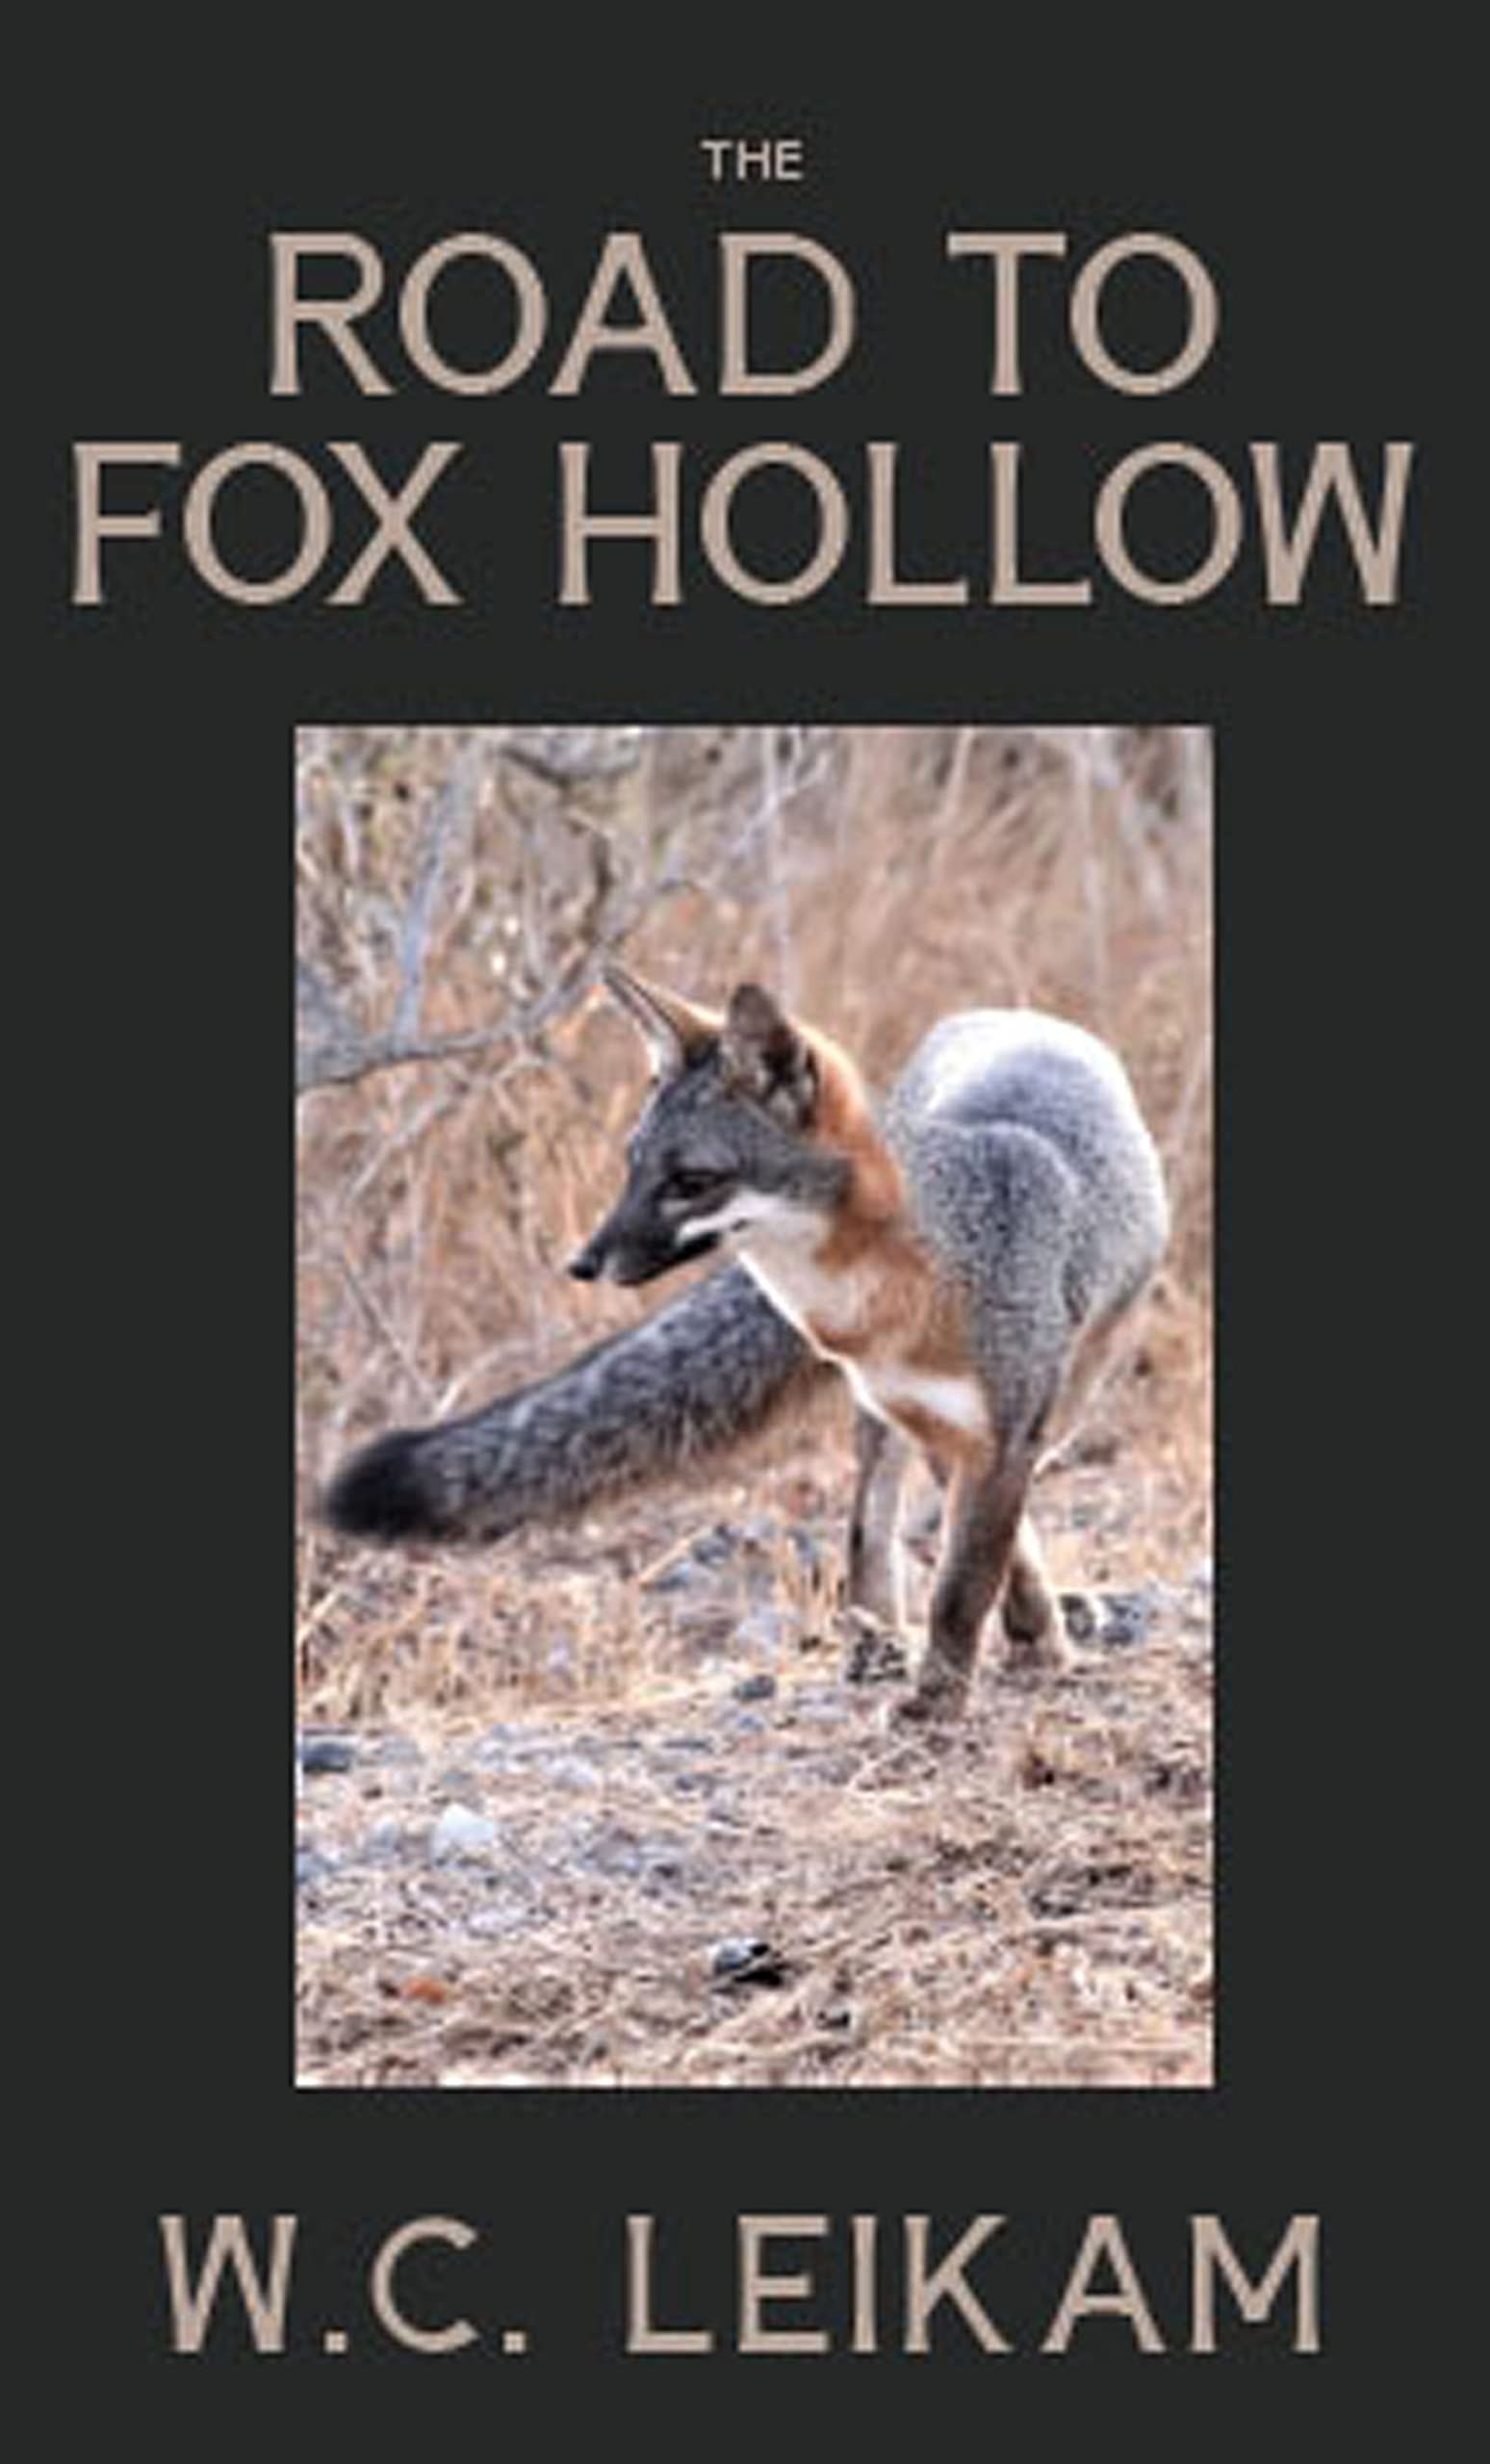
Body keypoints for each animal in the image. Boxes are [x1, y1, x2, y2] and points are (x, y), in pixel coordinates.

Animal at [325, 964, 1169, 1720]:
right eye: (633, 1166)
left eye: (692, 1180)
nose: (583, 1264)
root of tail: (1016, 1015)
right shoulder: (935, 1420)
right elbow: (969, 1556)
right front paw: (993, 1656)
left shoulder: (1003, 1429)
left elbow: (967, 1581)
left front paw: (946, 1696)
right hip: (895, 1421)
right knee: (872, 1520)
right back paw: (879, 1640)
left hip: (1068, 1394)